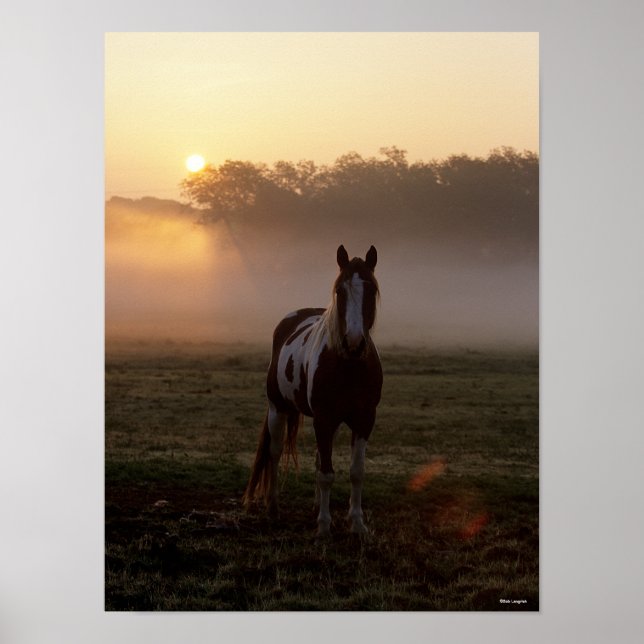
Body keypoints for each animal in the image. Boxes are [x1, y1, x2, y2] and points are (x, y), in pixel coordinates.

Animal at [242, 245, 383, 538]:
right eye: (339, 290)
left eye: (371, 289)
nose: (354, 343)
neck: (348, 365)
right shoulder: (323, 418)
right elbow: (326, 474)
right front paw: (324, 526)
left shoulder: (364, 420)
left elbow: (355, 472)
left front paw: (356, 522)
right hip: (278, 409)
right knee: (275, 453)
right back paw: (273, 508)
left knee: (319, 458)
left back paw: (317, 506)